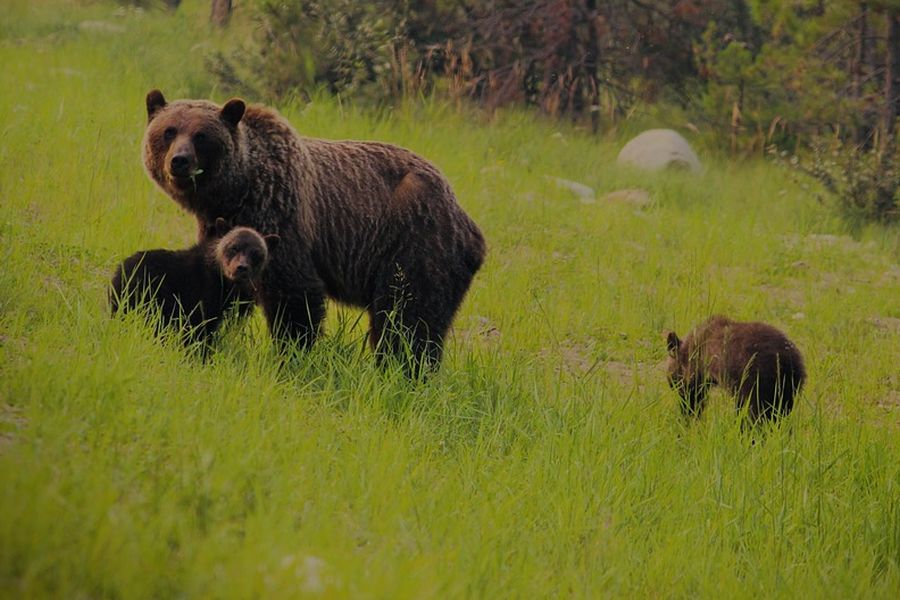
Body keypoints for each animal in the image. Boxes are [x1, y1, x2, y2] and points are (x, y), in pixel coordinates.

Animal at [142, 89, 486, 372]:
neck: (235, 191)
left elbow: (293, 294)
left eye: (201, 135)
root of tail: (469, 224)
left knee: (408, 319)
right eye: (168, 131)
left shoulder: (280, 215)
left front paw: (292, 355)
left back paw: (402, 371)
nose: (179, 161)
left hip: (415, 245)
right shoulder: (220, 228)